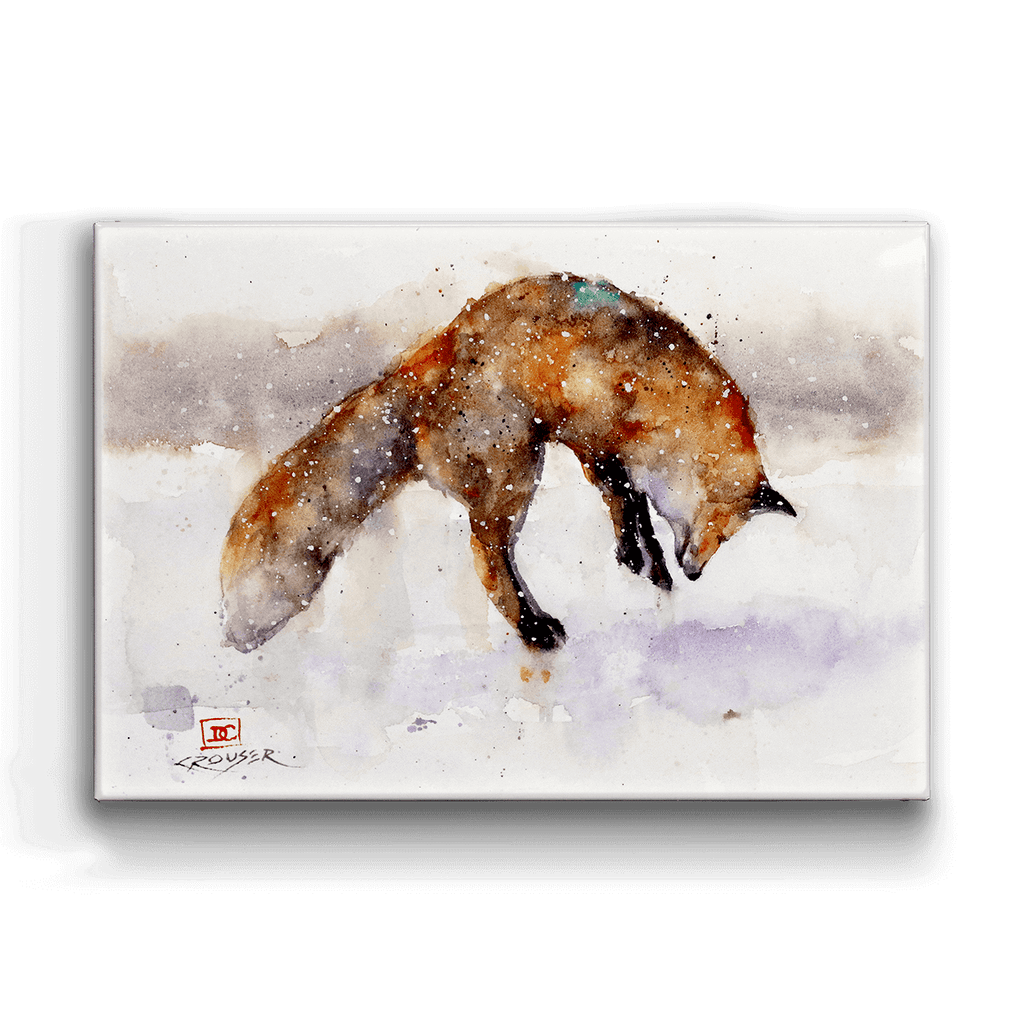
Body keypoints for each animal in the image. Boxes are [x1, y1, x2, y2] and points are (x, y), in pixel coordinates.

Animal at [220, 273, 796, 653]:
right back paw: (534, 630)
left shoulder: (596, 447)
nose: (696, 574)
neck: (666, 402)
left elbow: (625, 503)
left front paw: (639, 559)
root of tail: (422, 365)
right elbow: (626, 497)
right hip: (515, 472)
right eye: (718, 531)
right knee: (487, 557)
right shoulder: (589, 430)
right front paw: (650, 562)